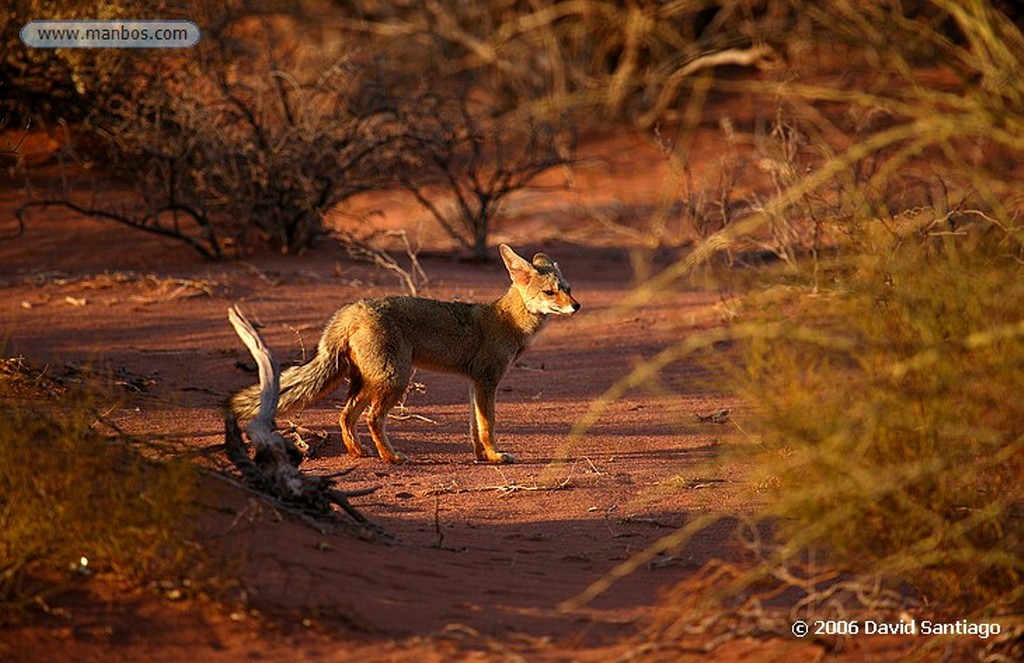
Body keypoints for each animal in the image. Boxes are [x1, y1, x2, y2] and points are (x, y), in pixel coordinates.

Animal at [234, 240, 581, 465]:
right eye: (550, 292)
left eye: (568, 288)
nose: (576, 306)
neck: (507, 320)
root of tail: (352, 308)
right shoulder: (487, 381)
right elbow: (488, 425)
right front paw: (496, 456)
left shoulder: (474, 383)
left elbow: (474, 427)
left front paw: (483, 456)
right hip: (395, 379)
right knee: (372, 418)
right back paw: (391, 457)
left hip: (370, 381)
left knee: (345, 415)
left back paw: (359, 452)